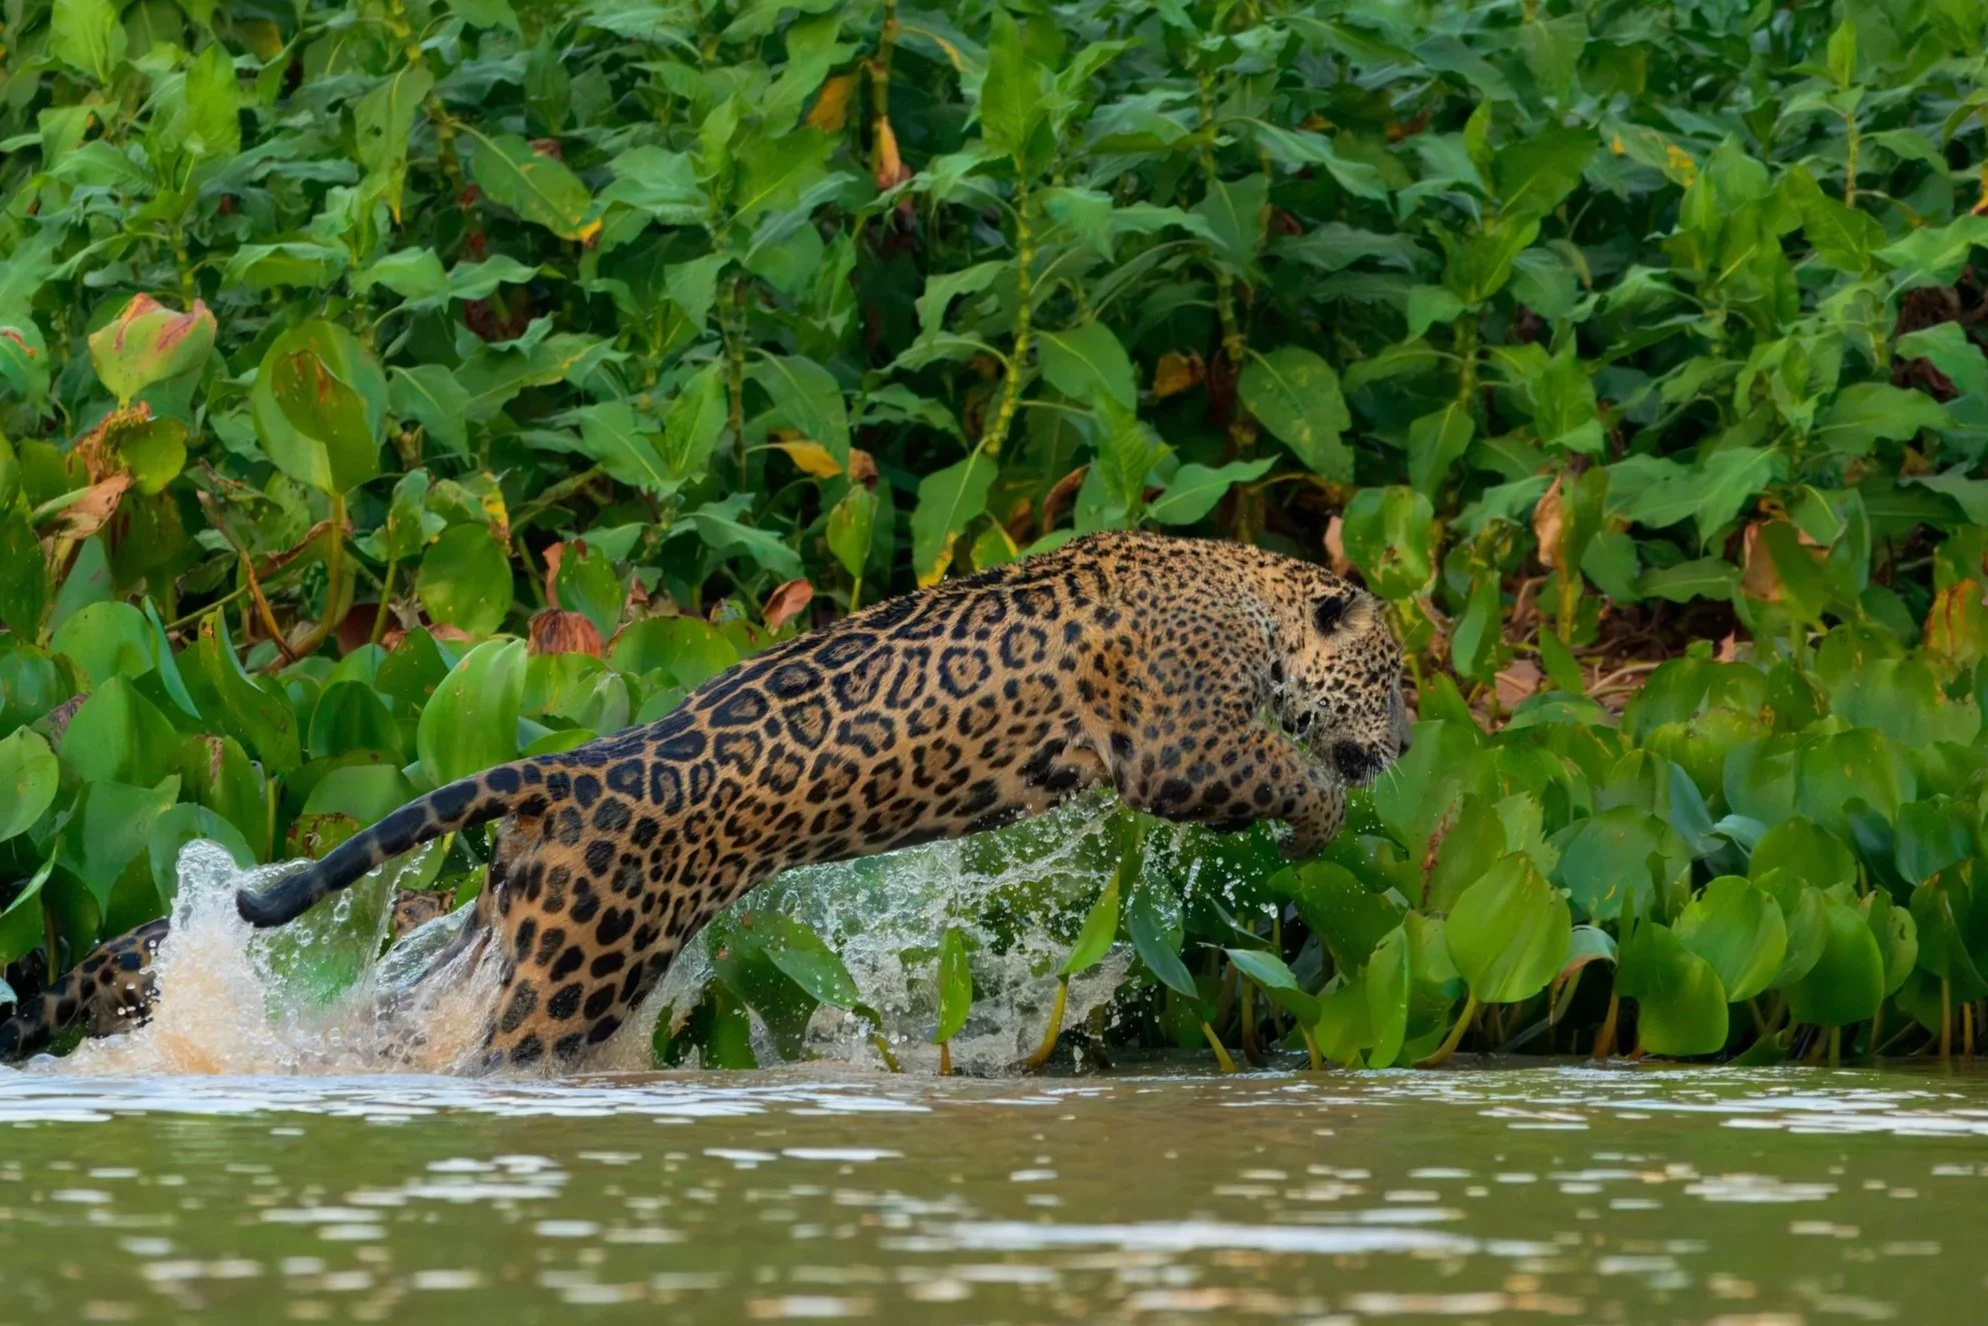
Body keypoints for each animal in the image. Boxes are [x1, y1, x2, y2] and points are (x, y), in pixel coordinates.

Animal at [12, 531, 1411, 1070]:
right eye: (1397, 679)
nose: (1406, 745)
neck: (1243, 595)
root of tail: (566, 766)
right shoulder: (1177, 742)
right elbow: (1276, 764)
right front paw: (1322, 821)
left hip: (511, 930)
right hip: (581, 971)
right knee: (499, 1055)